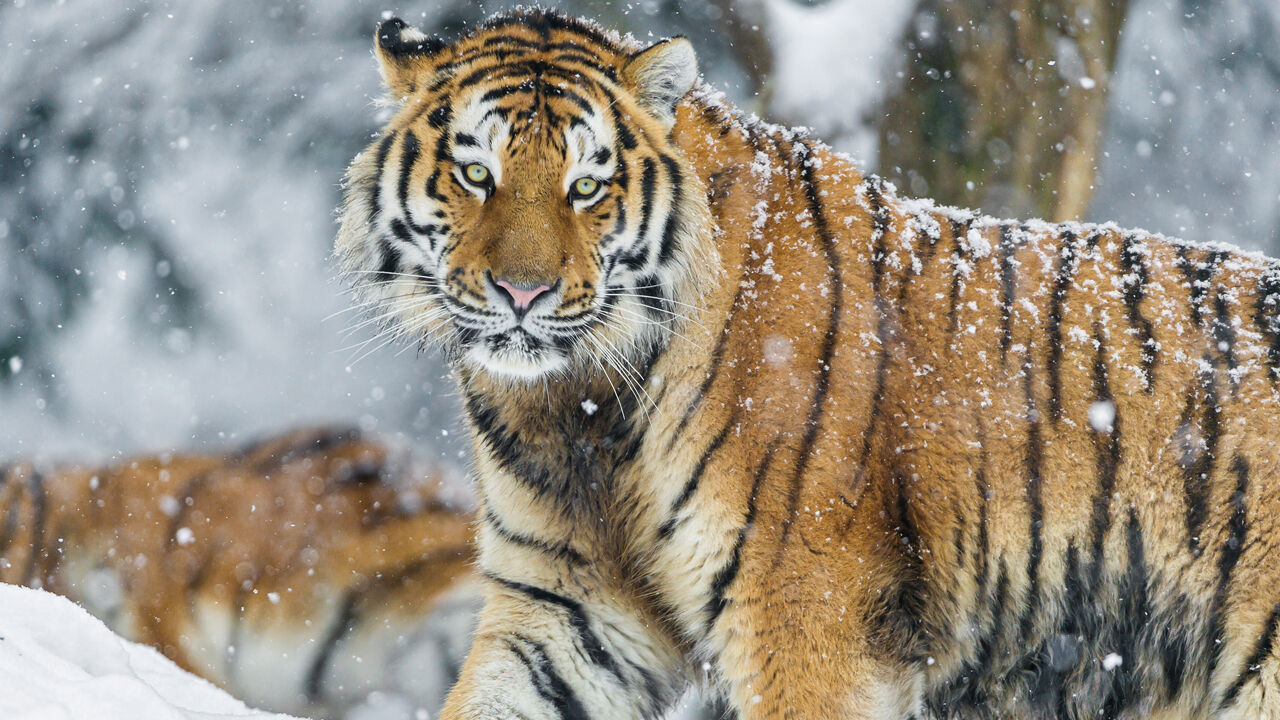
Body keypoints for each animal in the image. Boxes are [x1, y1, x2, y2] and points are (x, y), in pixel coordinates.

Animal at [332, 7, 1280, 717]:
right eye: (476, 175)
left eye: (586, 187)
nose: (522, 293)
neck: (581, 409)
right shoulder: (565, 608)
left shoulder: (805, 611)